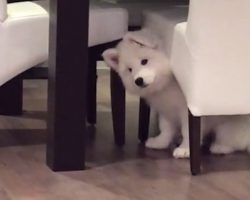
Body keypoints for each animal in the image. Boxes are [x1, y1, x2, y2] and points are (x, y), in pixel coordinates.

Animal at [102, 29, 250, 158]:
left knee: (234, 142)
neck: (165, 85)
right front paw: (160, 142)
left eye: (144, 61)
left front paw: (185, 149)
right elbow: (166, 128)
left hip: (228, 128)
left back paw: (219, 147)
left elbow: (188, 131)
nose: (138, 80)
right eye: (130, 70)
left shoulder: (186, 112)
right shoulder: (165, 110)